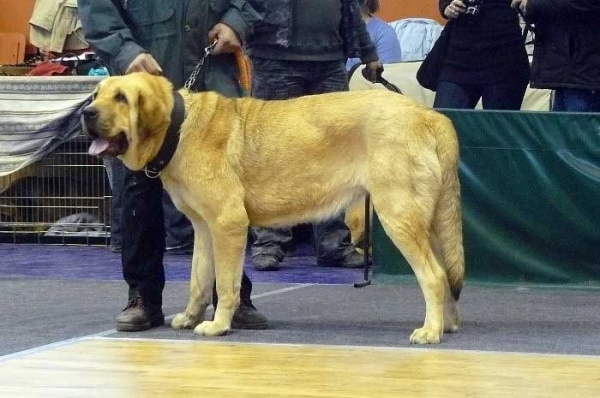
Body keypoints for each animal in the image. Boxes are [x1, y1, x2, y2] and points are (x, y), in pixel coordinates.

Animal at [82, 72, 464, 346]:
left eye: (121, 98)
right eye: (96, 95)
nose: (86, 113)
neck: (178, 128)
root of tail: (428, 115)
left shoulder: (228, 224)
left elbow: (227, 284)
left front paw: (218, 325)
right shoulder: (204, 229)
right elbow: (199, 281)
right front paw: (190, 318)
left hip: (399, 216)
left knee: (433, 275)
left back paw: (430, 331)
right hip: (426, 221)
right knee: (446, 272)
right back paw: (447, 324)